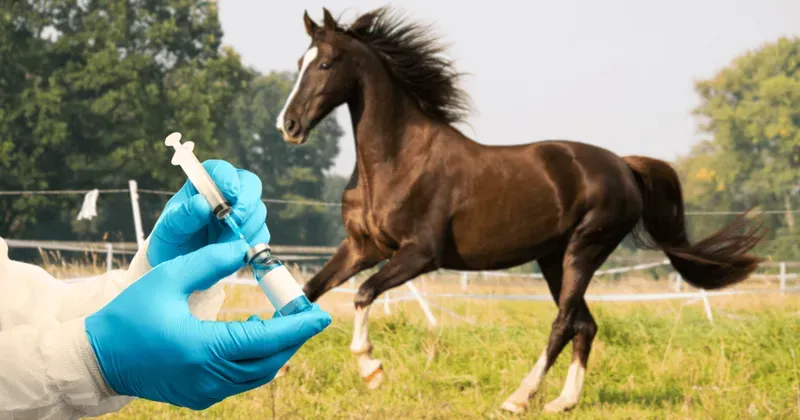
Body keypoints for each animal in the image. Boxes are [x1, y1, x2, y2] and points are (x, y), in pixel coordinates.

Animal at [274, 6, 766, 414]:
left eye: (325, 63)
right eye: (299, 63)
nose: (288, 126)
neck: (398, 160)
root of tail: (624, 166)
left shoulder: (420, 254)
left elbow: (363, 293)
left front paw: (371, 370)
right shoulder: (363, 247)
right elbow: (307, 293)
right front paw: (276, 368)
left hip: (585, 249)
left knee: (564, 322)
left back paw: (519, 397)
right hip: (553, 258)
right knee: (585, 325)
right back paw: (564, 402)